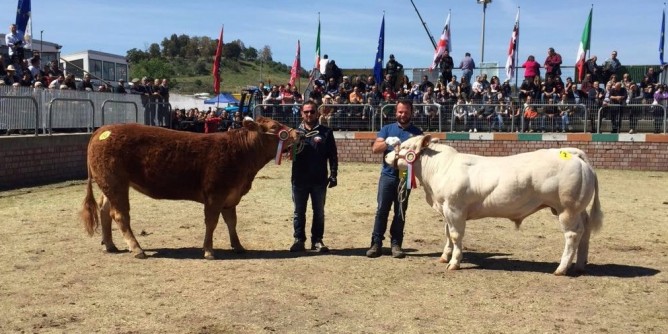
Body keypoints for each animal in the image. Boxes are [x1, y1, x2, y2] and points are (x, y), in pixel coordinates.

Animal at [81, 118, 302, 260]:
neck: (241, 152)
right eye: (275, 126)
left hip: (110, 184)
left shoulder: (230, 196)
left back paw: (110, 245)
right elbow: (211, 222)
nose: (298, 133)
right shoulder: (215, 194)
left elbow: (232, 222)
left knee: (104, 210)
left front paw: (238, 246)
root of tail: (102, 130)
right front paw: (209, 251)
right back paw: (136, 249)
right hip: (115, 182)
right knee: (119, 215)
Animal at [384, 134, 604, 276]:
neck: (440, 168)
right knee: (585, 231)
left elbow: (455, 235)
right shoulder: (446, 209)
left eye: (405, 147)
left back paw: (561, 268)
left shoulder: (454, 208)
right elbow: (447, 233)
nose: (386, 157)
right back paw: (579, 265)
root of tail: (571, 153)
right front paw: (444, 256)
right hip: (577, 209)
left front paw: (454, 262)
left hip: (567, 209)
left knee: (572, 235)